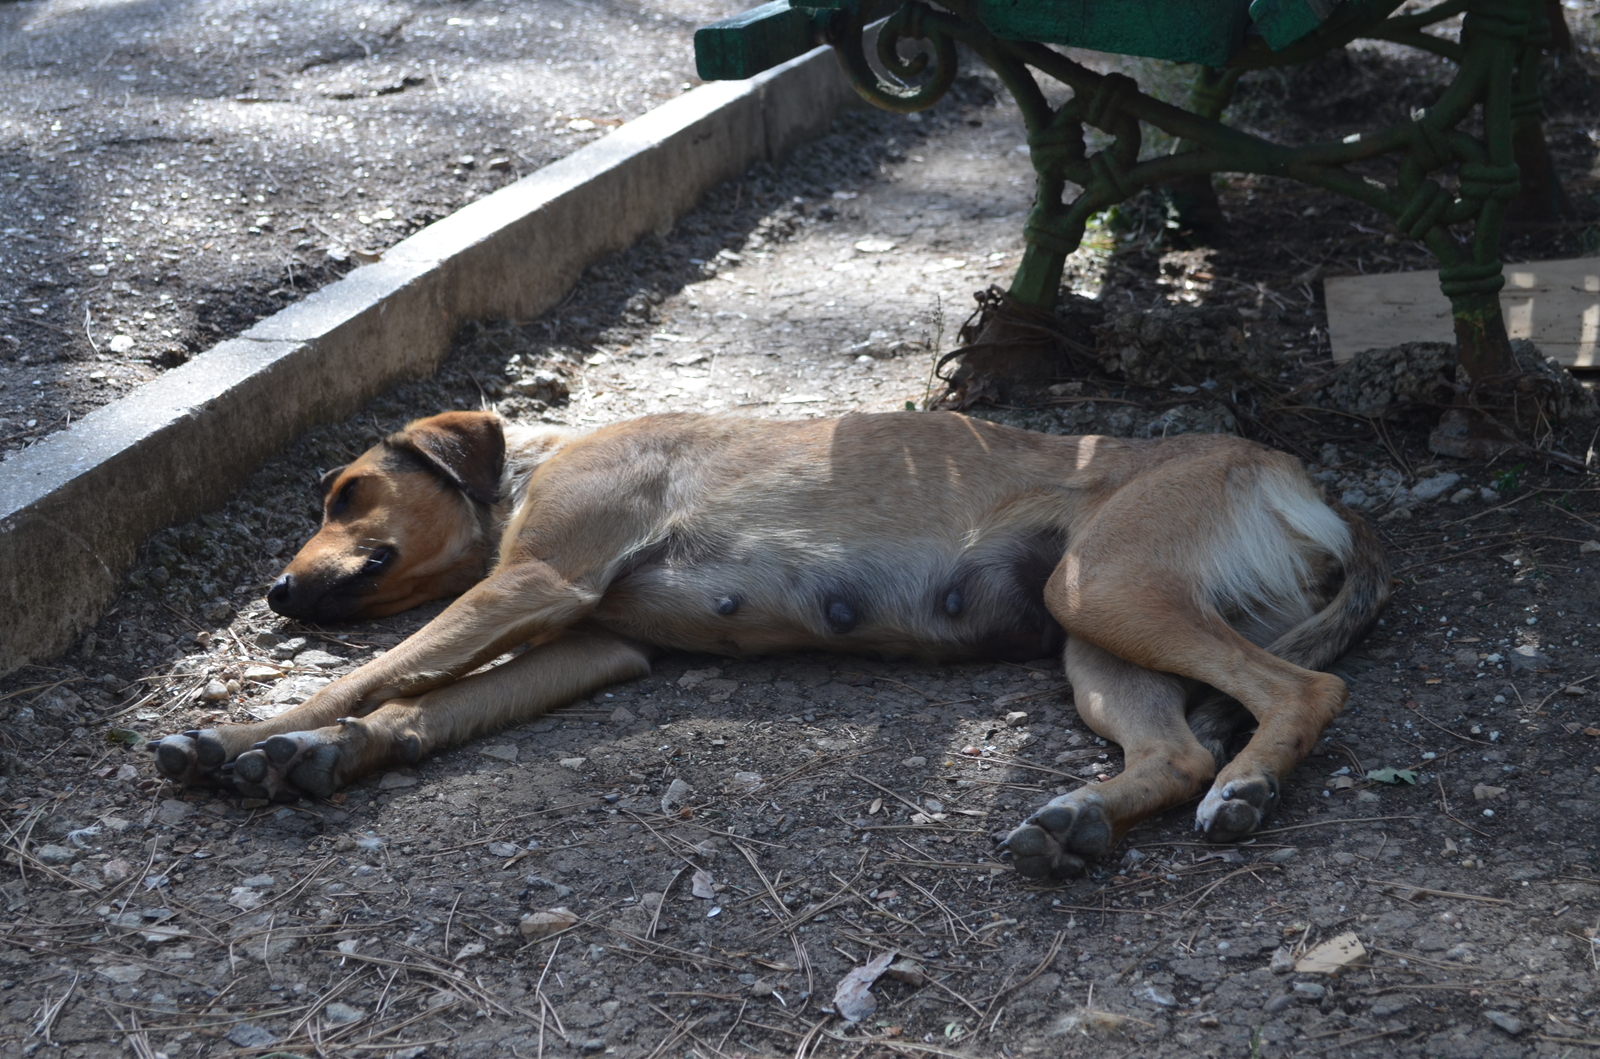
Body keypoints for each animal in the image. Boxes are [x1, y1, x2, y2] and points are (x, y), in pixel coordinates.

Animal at [156, 409, 1395, 883]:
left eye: (347, 492)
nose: (275, 592)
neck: (533, 467)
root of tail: (1285, 470)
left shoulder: (535, 584)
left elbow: (379, 670)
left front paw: (244, 732)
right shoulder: (591, 645)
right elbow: (416, 703)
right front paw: (316, 756)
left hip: (1110, 590)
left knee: (1304, 690)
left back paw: (1246, 791)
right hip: (1092, 637)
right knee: (1174, 750)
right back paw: (1074, 820)